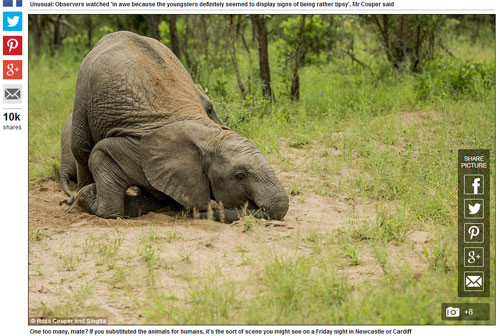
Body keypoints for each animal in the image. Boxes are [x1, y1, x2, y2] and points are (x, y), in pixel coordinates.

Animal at [71, 30, 290, 222]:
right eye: (240, 176)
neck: (206, 136)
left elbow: (156, 198)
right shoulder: (136, 151)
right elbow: (102, 155)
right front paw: (86, 196)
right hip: (82, 89)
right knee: (81, 149)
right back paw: (78, 194)